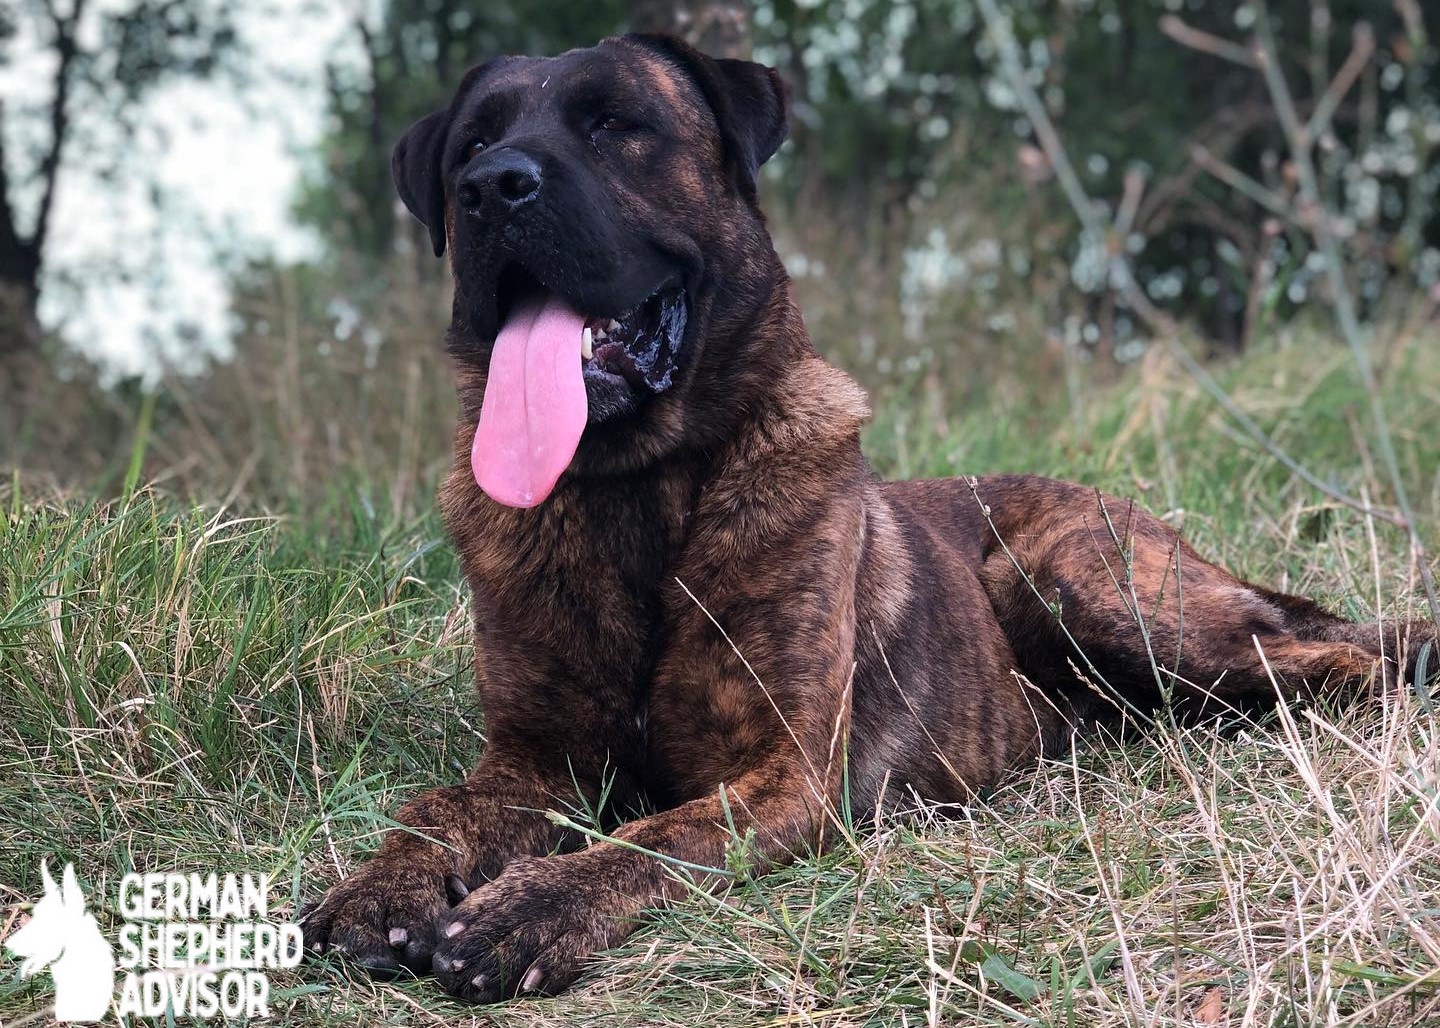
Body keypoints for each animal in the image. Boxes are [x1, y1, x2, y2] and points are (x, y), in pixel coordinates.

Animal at [298, 34, 1434, 1002]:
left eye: (616, 123)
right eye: (474, 143)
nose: (493, 187)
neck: (637, 489)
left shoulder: (780, 777)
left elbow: (641, 840)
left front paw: (524, 909)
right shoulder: (530, 763)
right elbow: (435, 812)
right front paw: (380, 886)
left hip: (1089, 588)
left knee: (1336, 661)